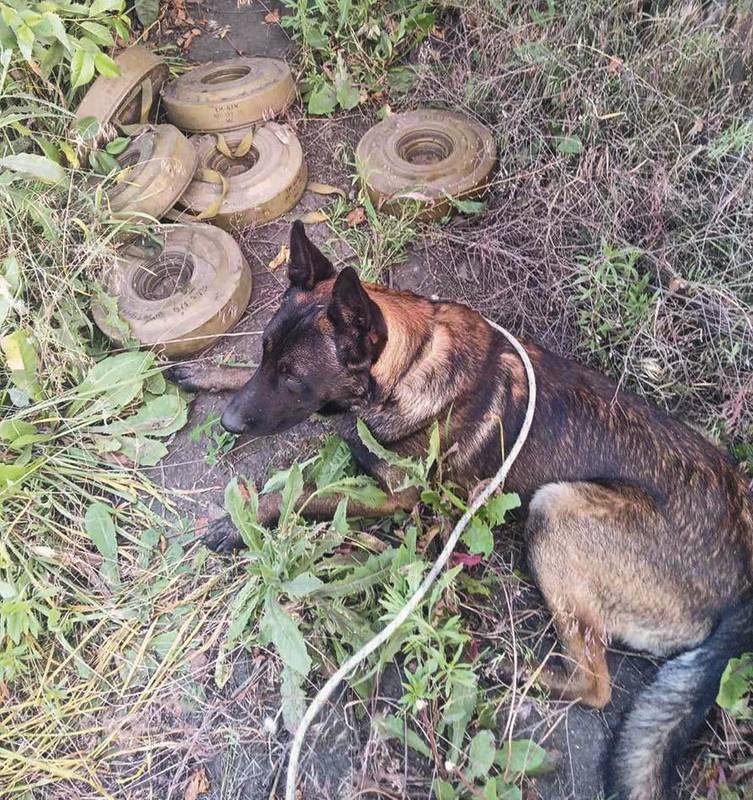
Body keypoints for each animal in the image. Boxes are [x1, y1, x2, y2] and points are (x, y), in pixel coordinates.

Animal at [172, 223, 752, 800]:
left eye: (294, 380)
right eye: (264, 353)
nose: (227, 423)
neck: (408, 365)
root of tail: (742, 584)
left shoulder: (394, 496)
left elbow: (310, 495)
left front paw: (241, 518)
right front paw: (206, 371)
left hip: (557, 506)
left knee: (596, 685)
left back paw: (506, 672)